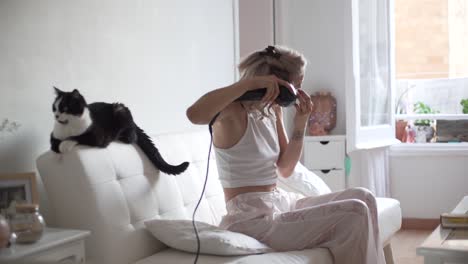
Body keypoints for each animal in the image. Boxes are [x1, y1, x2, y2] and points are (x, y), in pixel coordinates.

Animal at [50, 87, 189, 176]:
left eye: (65, 108)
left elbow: (78, 137)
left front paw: (65, 145)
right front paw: (59, 146)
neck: (68, 126)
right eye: (54, 108)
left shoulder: (98, 136)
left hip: (121, 110)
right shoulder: (53, 135)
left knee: (132, 137)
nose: (56, 116)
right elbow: (54, 144)